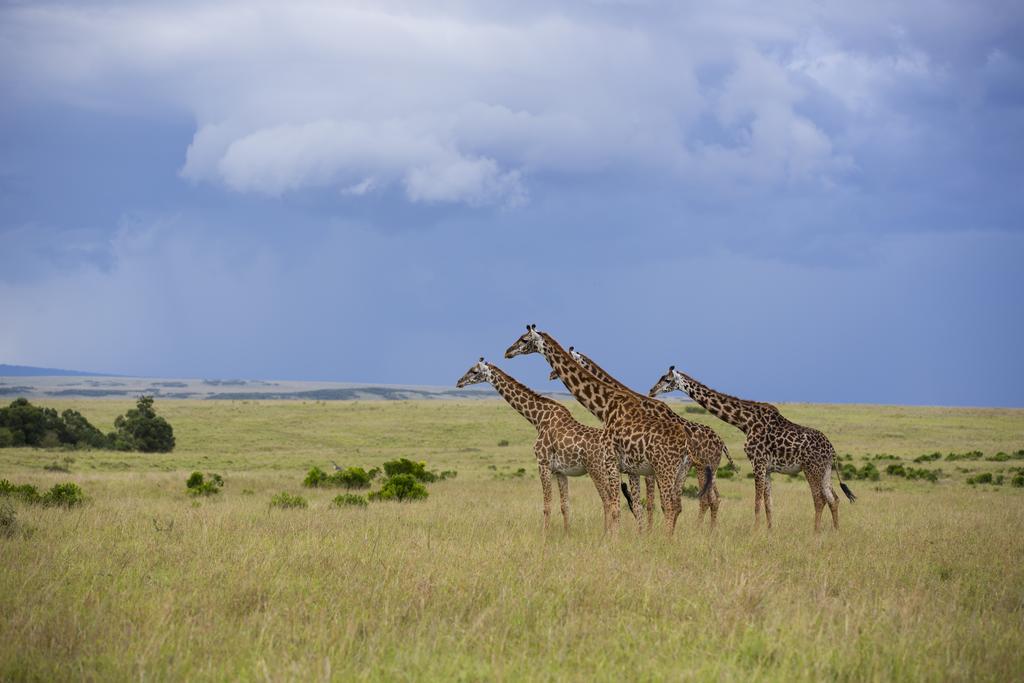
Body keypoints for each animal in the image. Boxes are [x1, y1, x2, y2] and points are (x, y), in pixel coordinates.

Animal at [458, 358, 618, 532]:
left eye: (474, 371)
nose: (459, 382)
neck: (538, 419)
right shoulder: (560, 471)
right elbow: (565, 505)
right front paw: (566, 533)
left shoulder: (543, 463)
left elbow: (547, 506)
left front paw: (544, 534)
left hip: (596, 469)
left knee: (608, 500)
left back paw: (607, 534)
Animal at [552, 348, 737, 528]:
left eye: (667, 379)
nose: (551, 374)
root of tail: (722, 442)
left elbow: (650, 503)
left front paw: (648, 531)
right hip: (706, 469)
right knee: (713, 499)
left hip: (702, 467)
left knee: (705, 499)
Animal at [647, 366, 856, 532]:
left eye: (666, 379)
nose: (651, 390)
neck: (745, 422)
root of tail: (832, 451)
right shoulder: (768, 468)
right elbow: (768, 503)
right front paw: (769, 531)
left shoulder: (758, 462)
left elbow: (757, 502)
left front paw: (754, 531)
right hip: (825, 470)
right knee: (834, 498)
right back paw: (836, 531)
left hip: (811, 468)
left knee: (820, 499)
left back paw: (816, 532)